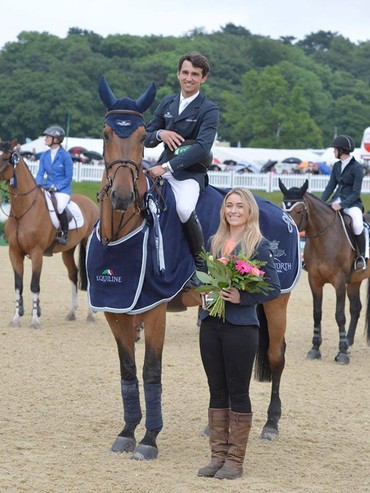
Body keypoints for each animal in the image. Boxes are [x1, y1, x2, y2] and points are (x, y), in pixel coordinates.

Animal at [0, 138, 99, 326]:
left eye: (4, 158)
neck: (23, 211)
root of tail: (92, 204)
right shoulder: (14, 252)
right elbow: (18, 285)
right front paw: (16, 318)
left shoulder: (36, 252)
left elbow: (34, 285)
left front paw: (35, 320)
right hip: (68, 250)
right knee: (73, 273)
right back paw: (71, 312)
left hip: (86, 244)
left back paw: (90, 314)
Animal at [86, 76, 300, 458]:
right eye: (106, 133)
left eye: (140, 136)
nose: (123, 197)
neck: (121, 231)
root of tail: (281, 212)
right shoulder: (116, 308)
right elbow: (127, 371)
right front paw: (126, 432)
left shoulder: (154, 308)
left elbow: (151, 371)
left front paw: (149, 439)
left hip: (277, 301)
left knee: (277, 355)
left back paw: (271, 424)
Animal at [278, 179, 370, 364]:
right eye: (283, 208)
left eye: (299, 210)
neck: (324, 239)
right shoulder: (314, 281)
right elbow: (317, 313)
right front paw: (315, 349)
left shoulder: (339, 282)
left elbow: (339, 315)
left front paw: (342, 353)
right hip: (355, 281)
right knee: (356, 308)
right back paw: (349, 342)